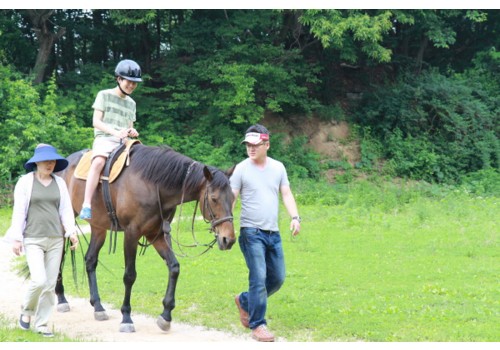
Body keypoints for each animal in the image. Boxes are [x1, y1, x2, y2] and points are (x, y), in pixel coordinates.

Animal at [55, 144, 235, 332]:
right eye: (214, 199)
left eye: (233, 198)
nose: (228, 239)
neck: (153, 185)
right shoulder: (131, 234)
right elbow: (129, 275)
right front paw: (126, 317)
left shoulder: (156, 235)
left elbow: (174, 267)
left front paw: (166, 314)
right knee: (60, 257)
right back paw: (61, 298)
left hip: (98, 228)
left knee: (90, 260)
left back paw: (98, 306)